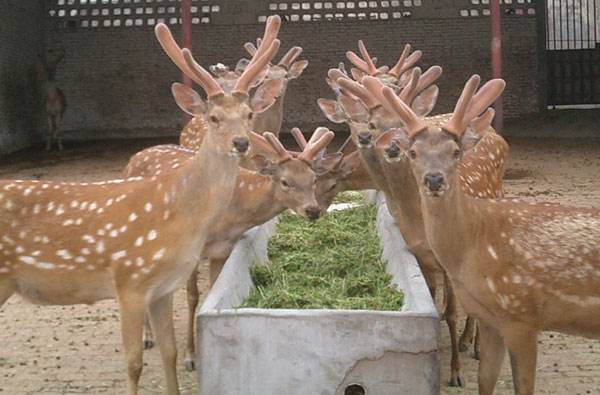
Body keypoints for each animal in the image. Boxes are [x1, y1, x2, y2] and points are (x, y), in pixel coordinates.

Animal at [125, 127, 338, 372]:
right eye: (285, 181)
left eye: (314, 179)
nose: (313, 210)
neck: (234, 212)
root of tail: (133, 159)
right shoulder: (194, 247)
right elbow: (192, 297)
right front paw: (190, 357)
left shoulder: (223, 249)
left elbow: (213, 291)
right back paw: (147, 337)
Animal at [376, 76, 600, 395]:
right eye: (414, 152)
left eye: (455, 151)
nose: (434, 179)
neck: (477, 240)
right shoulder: (492, 318)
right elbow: (485, 381)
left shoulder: (521, 314)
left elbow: (523, 387)